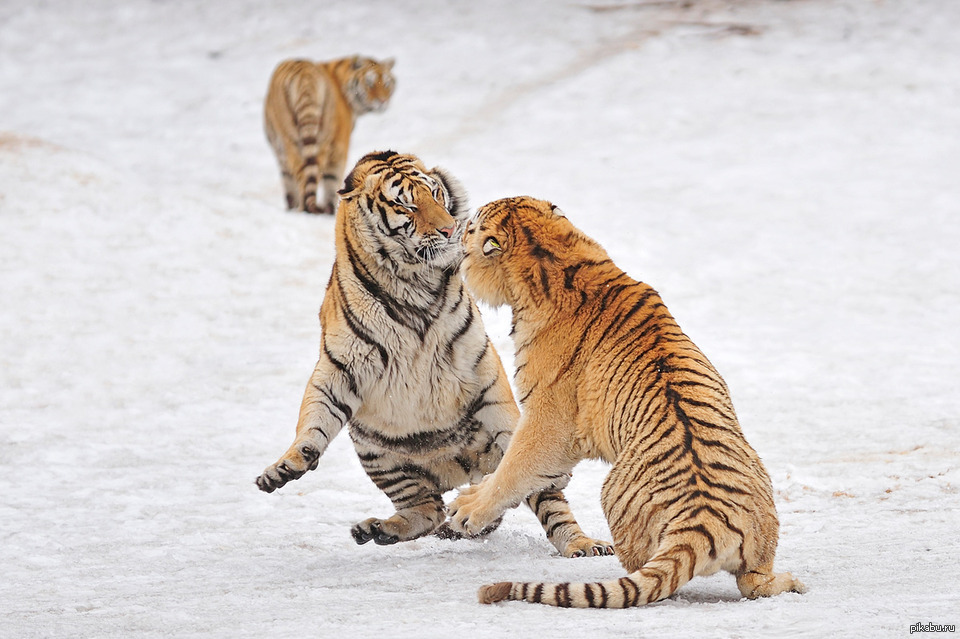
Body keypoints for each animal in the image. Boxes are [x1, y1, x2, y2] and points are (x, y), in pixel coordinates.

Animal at [255, 152, 616, 556]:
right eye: (406, 205)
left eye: (437, 195)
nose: (449, 230)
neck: (411, 282)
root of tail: (458, 472)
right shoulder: (340, 366)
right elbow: (312, 420)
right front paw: (284, 467)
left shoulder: (480, 369)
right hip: (372, 449)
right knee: (427, 508)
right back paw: (378, 529)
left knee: (540, 501)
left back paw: (580, 543)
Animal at [262, 55, 394, 215]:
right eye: (370, 84)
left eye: (386, 84)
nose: (383, 101)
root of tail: (305, 76)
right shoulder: (339, 144)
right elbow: (333, 178)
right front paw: (330, 208)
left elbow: (288, 180)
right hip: (319, 141)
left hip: (289, 137)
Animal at [446, 198, 808, 608]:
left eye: (472, 226)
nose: (456, 228)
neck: (556, 257)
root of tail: (703, 522)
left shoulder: (548, 418)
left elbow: (514, 468)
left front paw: (465, 510)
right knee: (754, 583)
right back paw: (791, 582)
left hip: (613, 494)